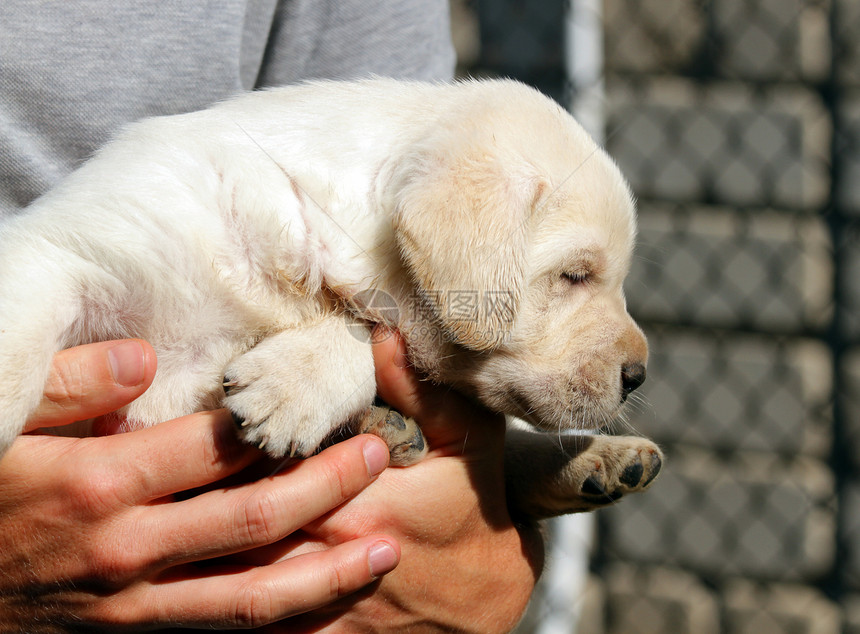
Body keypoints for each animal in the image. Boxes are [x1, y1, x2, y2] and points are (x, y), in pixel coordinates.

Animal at [0, 79, 660, 516]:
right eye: (574, 275)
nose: (638, 377)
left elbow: (359, 324)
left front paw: (297, 384)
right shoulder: (64, 250)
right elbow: (21, 339)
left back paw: (598, 461)